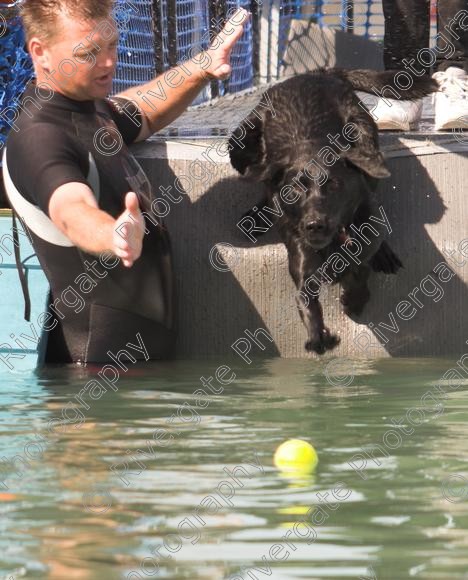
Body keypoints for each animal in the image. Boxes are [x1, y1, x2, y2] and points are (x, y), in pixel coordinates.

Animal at [229, 70, 436, 356]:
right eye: (295, 189)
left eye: (334, 185)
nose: (314, 224)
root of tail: (317, 73)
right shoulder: (300, 252)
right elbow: (305, 296)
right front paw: (318, 336)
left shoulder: (364, 222)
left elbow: (360, 262)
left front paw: (354, 299)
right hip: (240, 142)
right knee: (263, 179)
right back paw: (257, 216)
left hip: (364, 135)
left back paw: (383, 255)